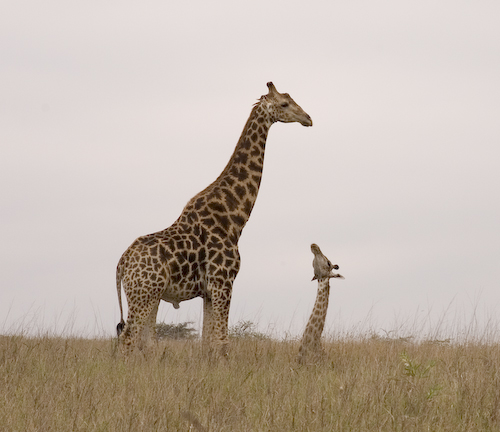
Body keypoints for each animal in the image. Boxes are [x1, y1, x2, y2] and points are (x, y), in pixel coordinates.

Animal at [117, 82, 312, 356]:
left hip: (148, 295)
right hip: (143, 294)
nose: (308, 118)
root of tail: (121, 264)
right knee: (127, 340)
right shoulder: (223, 282)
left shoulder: (209, 291)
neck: (234, 219)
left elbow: (208, 343)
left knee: (145, 342)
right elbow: (222, 343)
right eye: (284, 104)